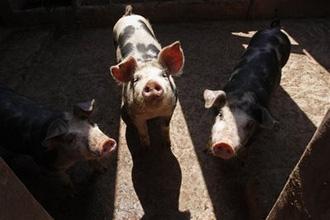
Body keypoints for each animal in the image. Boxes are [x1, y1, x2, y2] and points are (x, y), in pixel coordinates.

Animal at [109, 5, 184, 146]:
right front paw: (146, 147)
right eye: (135, 79)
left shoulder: (170, 109)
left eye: (164, 74)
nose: (152, 83)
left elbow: (165, 128)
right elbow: (142, 131)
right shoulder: (135, 116)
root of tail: (129, 15)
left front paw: (167, 144)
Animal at [202, 19, 290, 159]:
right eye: (220, 114)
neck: (242, 96)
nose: (225, 144)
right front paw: (205, 151)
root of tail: (275, 29)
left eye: (249, 124)